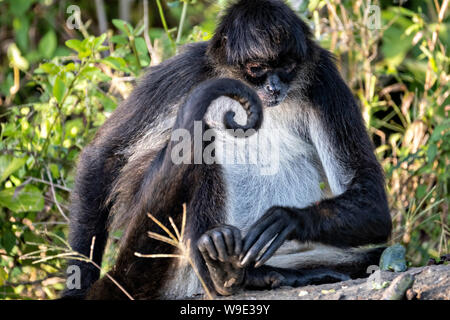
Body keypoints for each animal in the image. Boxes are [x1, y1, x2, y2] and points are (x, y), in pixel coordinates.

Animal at [63, 0, 390, 300]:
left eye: (287, 67)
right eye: (256, 69)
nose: (274, 88)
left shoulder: (323, 78)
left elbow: (373, 200)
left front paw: (288, 219)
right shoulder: (188, 69)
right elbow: (104, 155)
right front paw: (75, 285)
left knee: (374, 255)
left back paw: (265, 275)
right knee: (196, 142)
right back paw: (225, 270)